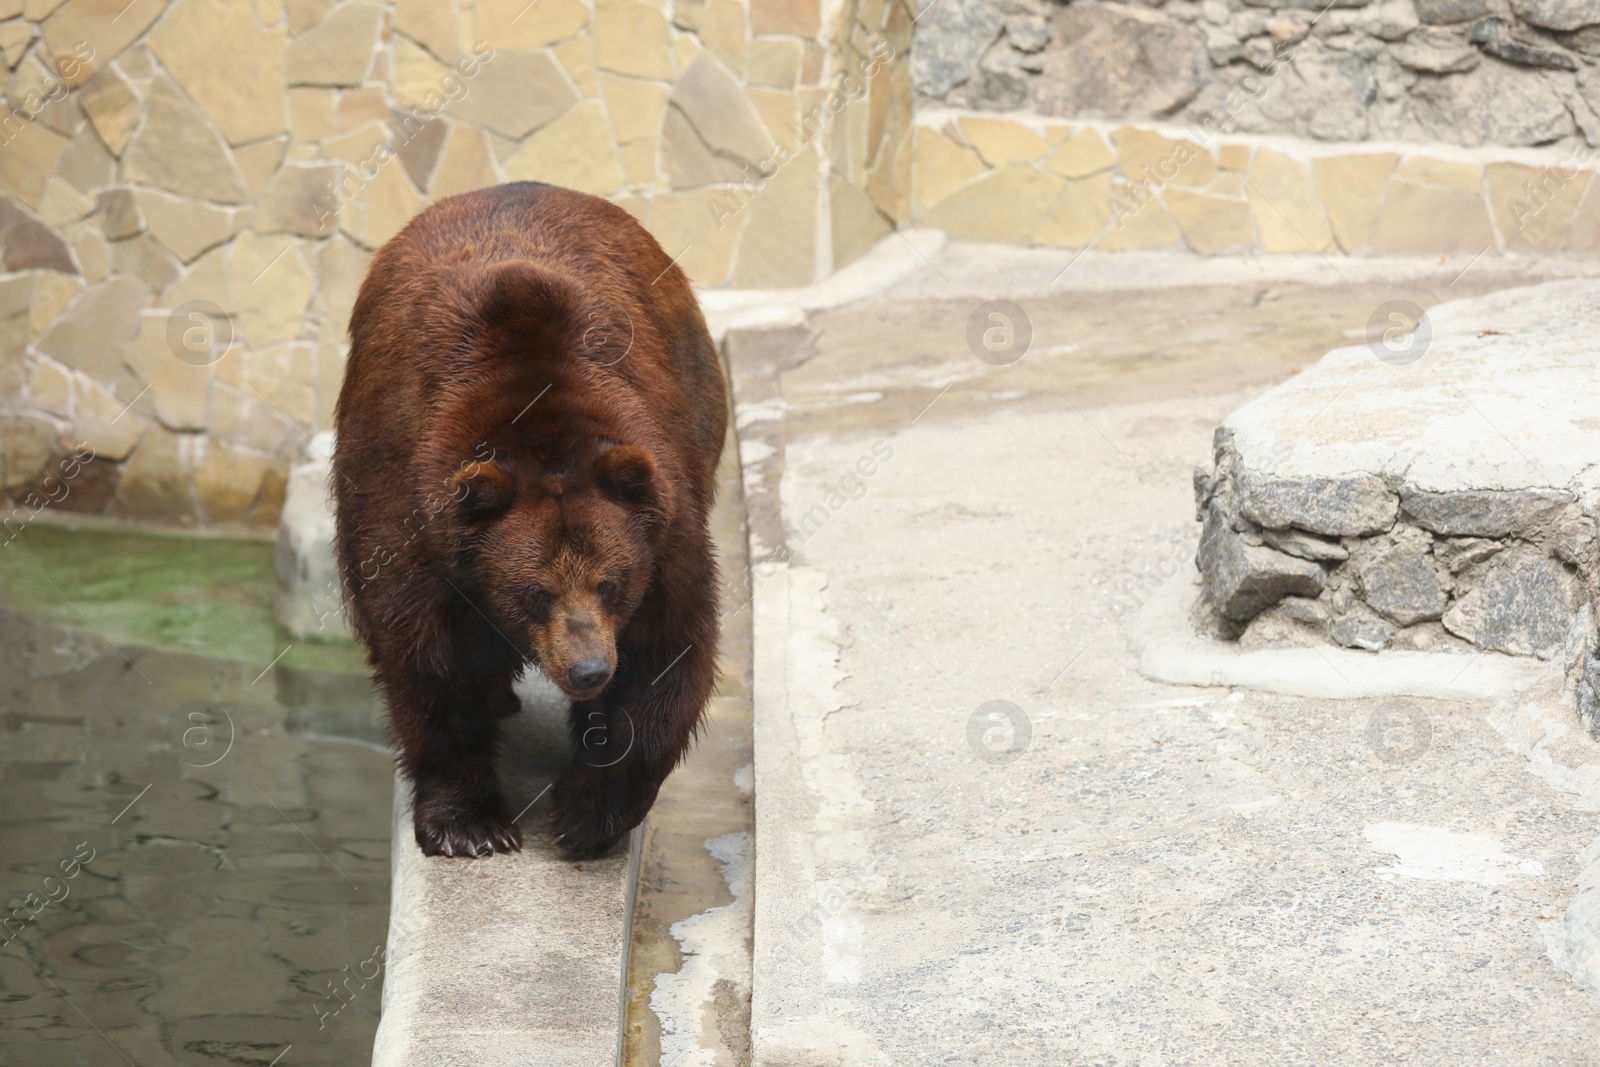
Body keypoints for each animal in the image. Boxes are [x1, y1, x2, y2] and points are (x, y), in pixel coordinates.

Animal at [334, 183, 729, 857]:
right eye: (535, 591)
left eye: (610, 582)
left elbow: (664, 655)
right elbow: (430, 664)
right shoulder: (409, 513)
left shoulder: (664, 524)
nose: (589, 669)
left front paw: (588, 814)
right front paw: (470, 825)